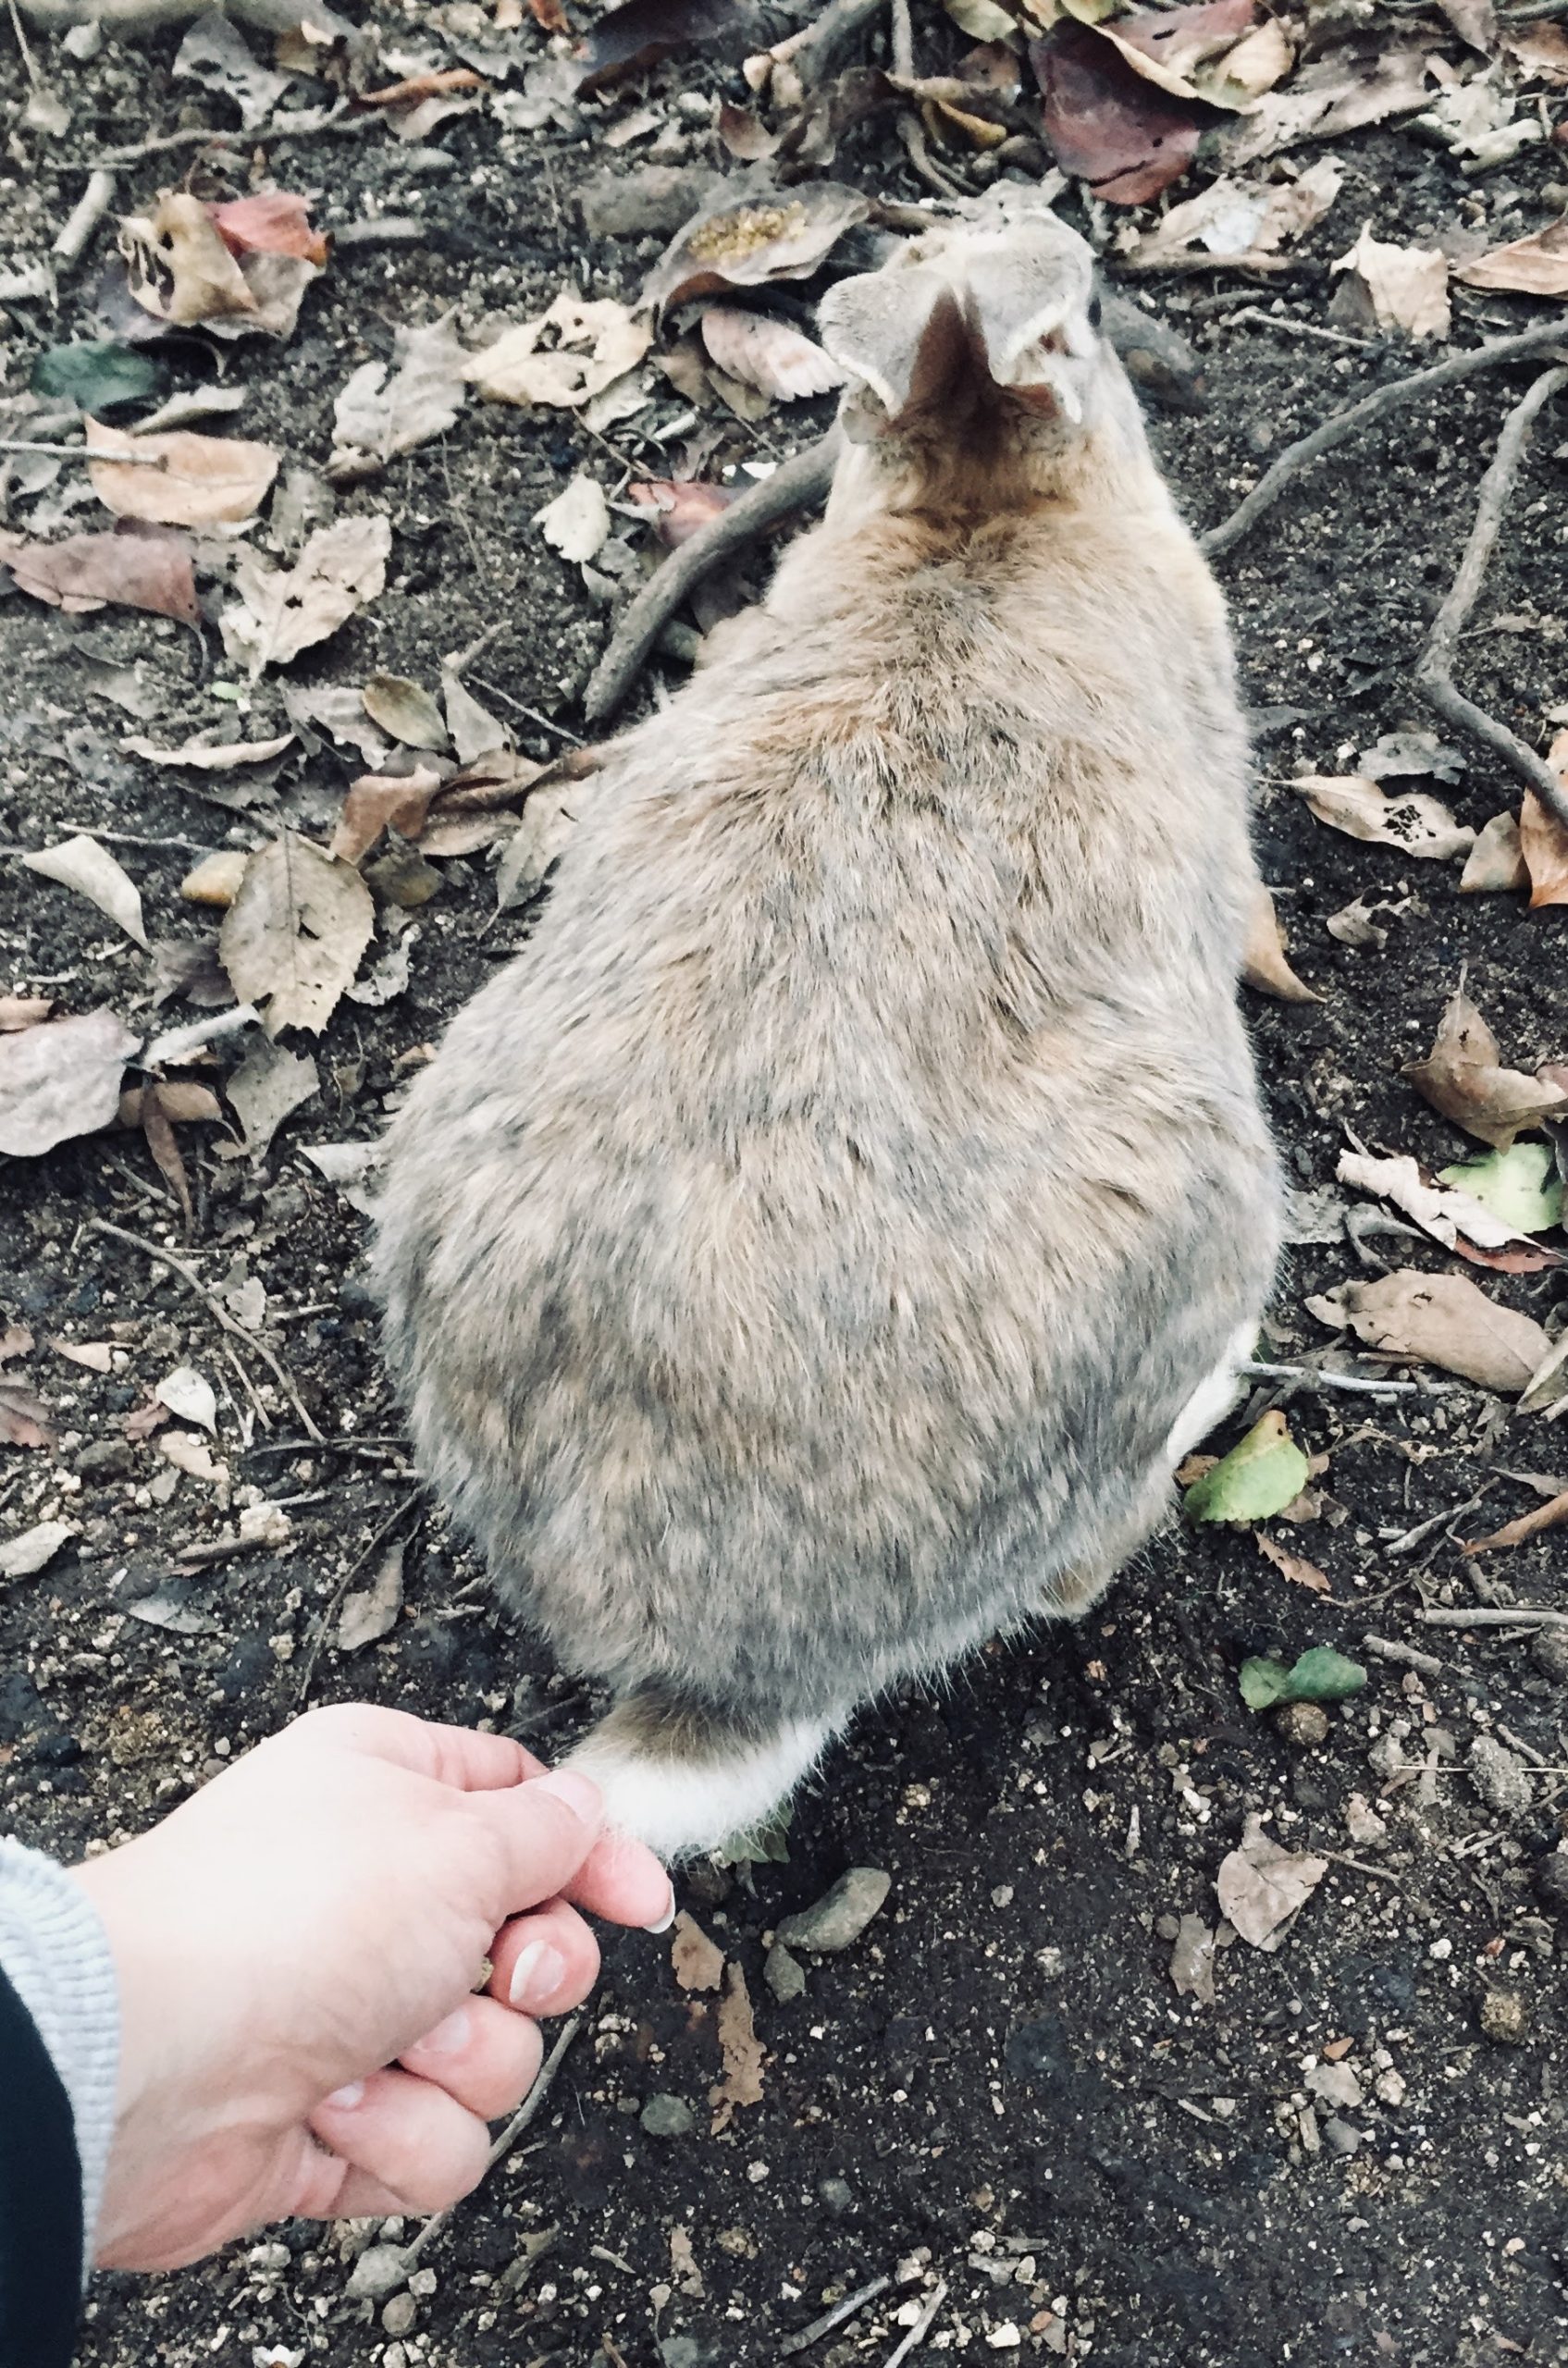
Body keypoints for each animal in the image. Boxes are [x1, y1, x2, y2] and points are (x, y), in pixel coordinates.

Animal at [371, 193, 1288, 1856]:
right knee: (1074, 1570)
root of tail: (728, 1673)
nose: (1047, 230)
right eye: (1092, 312)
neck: (972, 508)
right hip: (1203, 1205)